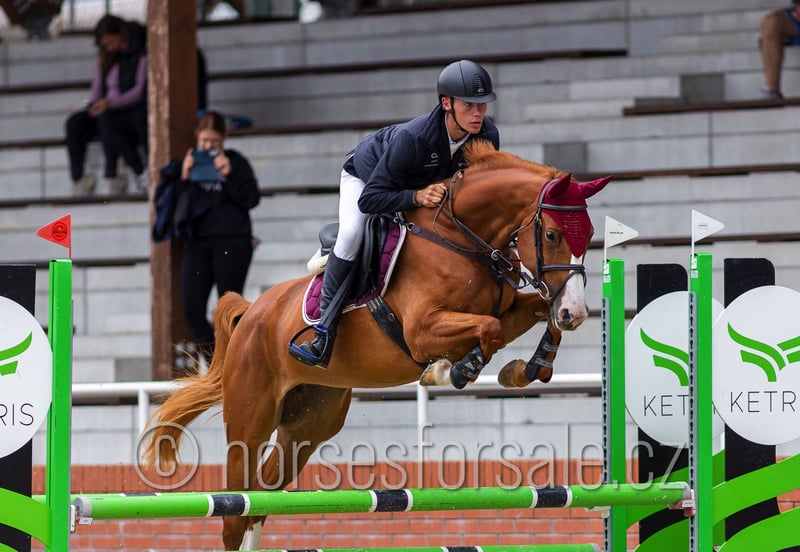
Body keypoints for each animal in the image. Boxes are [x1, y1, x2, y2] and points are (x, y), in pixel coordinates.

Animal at [142, 140, 610, 550]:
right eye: (552, 235)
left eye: (588, 232)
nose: (577, 312)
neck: (460, 238)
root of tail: (252, 312)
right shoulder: (421, 330)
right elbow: (489, 329)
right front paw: (451, 370)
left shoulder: (512, 307)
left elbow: (532, 314)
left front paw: (528, 368)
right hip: (249, 420)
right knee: (234, 510)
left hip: (306, 426)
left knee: (259, 500)